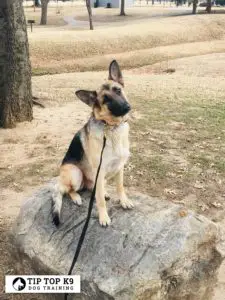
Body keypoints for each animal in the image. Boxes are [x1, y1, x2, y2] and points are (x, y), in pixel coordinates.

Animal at [51, 59, 133, 226]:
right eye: (105, 100)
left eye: (118, 90)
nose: (126, 107)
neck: (112, 127)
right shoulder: (99, 171)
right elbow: (99, 199)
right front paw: (103, 217)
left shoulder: (119, 167)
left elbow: (120, 187)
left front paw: (124, 201)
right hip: (75, 173)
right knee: (70, 190)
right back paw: (76, 197)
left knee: (93, 189)